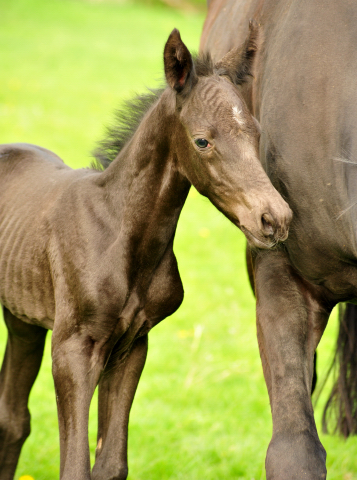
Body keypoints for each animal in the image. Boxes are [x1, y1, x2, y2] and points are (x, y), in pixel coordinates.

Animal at [0, 27, 290, 480]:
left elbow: (111, 464)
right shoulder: (72, 348)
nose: (274, 219)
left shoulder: (133, 345)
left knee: (12, 417)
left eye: (255, 133)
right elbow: (76, 467)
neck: (121, 236)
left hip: (22, 318)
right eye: (202, 140)